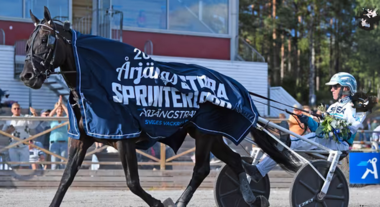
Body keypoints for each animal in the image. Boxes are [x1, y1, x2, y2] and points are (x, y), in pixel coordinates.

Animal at [19, 6, 300, 207]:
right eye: (28, 42)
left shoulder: (125, 138)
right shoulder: (83, 139)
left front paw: (159, 202)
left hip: (205, 133)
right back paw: (252, 196)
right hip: (209, 134)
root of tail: (235, 87)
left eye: (45, 40)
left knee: (201, 169)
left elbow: (132, 183)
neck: (100, 82)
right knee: (234, 161)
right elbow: (65, 181)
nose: (27, 75)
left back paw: (182, 202)